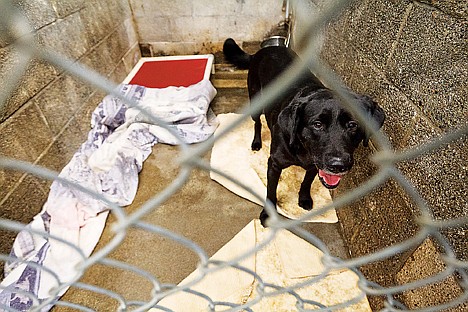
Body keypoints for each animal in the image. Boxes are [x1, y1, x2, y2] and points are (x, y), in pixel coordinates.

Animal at [225, 37, 386, 225]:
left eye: (352, 125)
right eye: (317, 124)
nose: (338, 166)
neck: (302, 148)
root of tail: (264, 50)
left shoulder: (315, 165)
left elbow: (307, 181)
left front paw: (304, 198)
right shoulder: (274, 164)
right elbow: (271, 192)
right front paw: (267, 214)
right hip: (255, 101)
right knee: (257, 123)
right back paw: (256, 143)